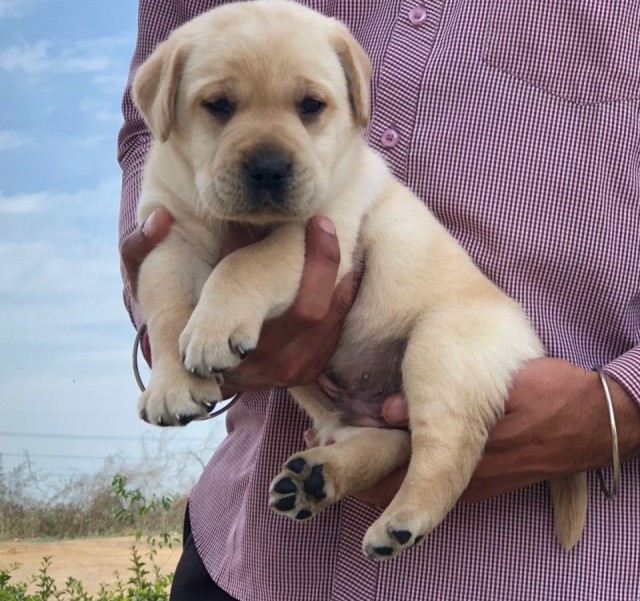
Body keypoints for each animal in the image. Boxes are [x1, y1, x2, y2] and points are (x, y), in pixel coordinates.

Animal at [132, 0, 588, 556]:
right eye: (218, 105)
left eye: (311, 106)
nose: (269, 167)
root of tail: (531, 346)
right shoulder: (166, 238)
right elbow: (165, 310)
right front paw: (171, 384)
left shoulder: (323, 226)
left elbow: (245, 263)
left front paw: (213, 330)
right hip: (344, 407)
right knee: (395, 441)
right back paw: (316, 479)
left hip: (442, 352)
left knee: (448, 448)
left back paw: (402, 519)